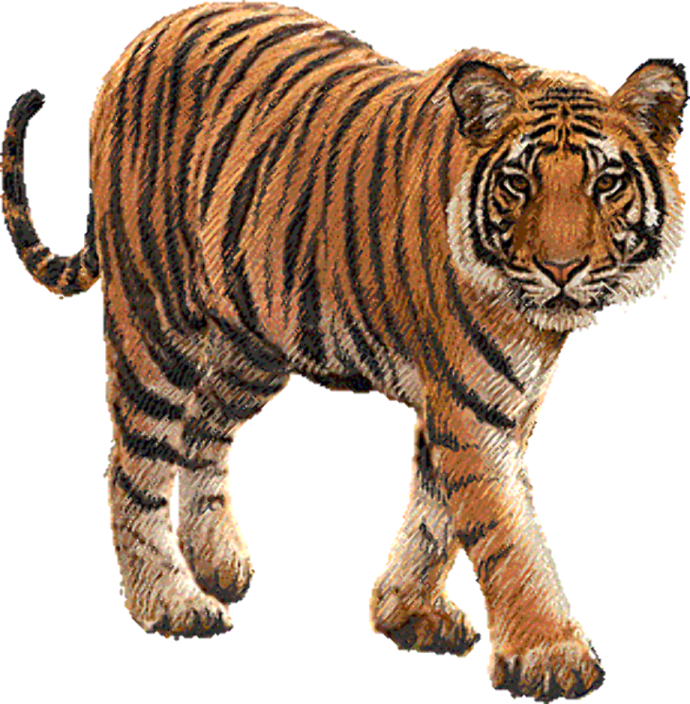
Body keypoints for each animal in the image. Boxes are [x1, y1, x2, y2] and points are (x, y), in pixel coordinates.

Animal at [1, 1, 685, 700]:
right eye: (519, 182)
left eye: (607, 182)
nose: (561, 269)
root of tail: (145, 38)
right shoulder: (471, 403)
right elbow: (507, 531)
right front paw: (552, 656)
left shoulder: (495, 398)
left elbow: (437, 512)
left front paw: (409, 613)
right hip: (157, 317)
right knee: (133, 464)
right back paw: (170, 602)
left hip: (255, 341)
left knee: (201, 432)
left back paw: (216, 563)